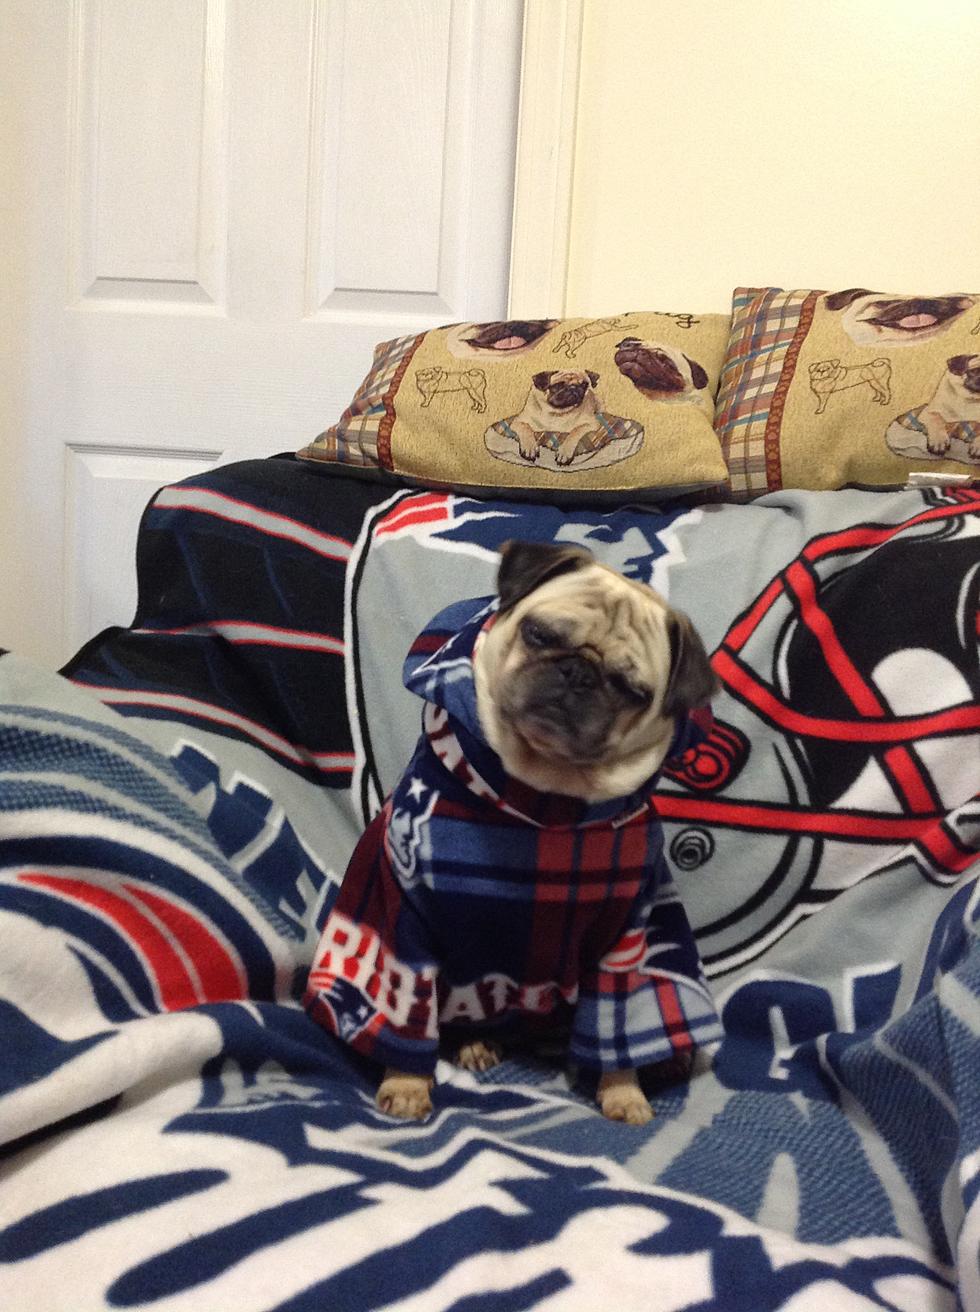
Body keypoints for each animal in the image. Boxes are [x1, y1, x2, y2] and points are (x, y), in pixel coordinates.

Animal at [304, 543, 718, 1128]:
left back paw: (665, 1060)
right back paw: (473, 1044)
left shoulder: (624, 941)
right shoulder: (402, 923)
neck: (542, 798)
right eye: (539, 634)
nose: (577, 673)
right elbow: (406, 1011)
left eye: (632, 690)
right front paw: (406, 1085)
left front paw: (624, 1094)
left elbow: (617, 1025)